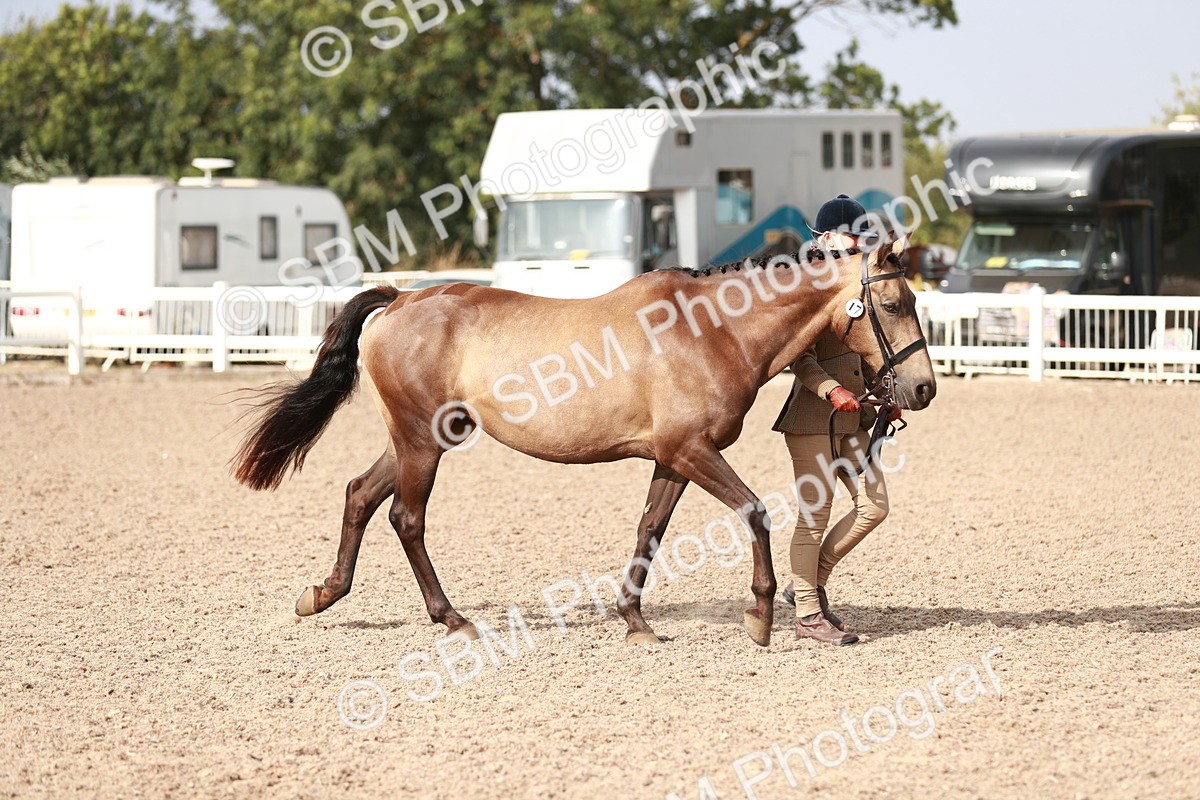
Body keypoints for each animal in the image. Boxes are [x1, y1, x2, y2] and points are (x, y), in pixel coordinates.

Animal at [232, 235, 936, 647]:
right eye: (894, 305)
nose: (923, 388)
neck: (713, 329)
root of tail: (401, 298)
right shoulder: (694, 451)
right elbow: (756, 512)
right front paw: (760, 618)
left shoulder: (672, 458)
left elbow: (649, 529)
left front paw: (635, 621)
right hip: (422, 443)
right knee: (406, 517)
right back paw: (451, 617)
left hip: (417, 439)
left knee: (359, 494)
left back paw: (323, 595)